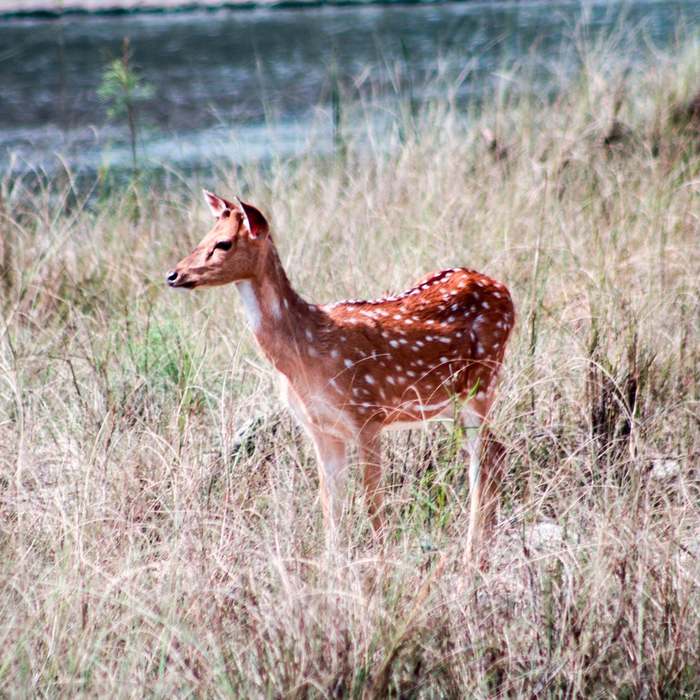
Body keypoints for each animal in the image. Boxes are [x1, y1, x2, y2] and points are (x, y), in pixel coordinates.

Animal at [167, 191, 515, 558]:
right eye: (203, 236)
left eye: (224, 243)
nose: (173, 275)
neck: (306, 353)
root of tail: (505, 289)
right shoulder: (320, 429)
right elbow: (330, 507)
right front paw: (332, 565)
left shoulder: (367, 414)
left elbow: (372, 504)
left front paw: (379, 565)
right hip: (450, 403)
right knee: (495, 452)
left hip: (482, 384)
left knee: (483, 459)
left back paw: (471, 554)